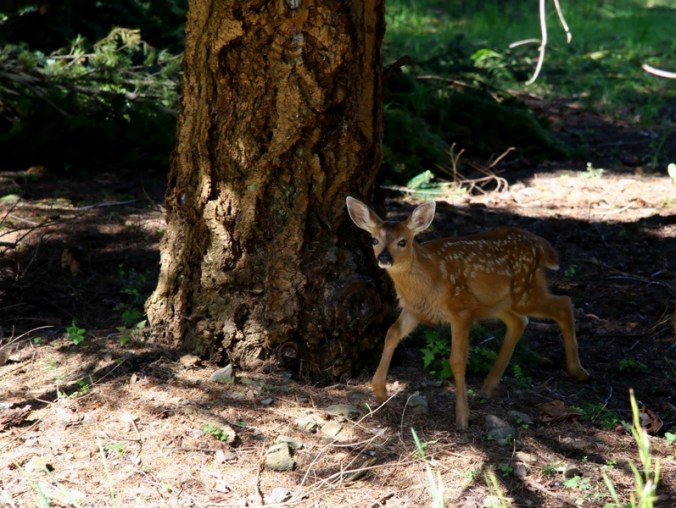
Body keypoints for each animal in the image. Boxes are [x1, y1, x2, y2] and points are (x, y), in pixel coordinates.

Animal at [345, 196, 589, 429]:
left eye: (402, 241)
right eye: (374, 240)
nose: (384, 258)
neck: (429, 278)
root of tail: (541, 244)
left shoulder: (460, 307)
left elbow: (458, 359)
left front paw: (462, 417)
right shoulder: (414, 310)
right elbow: (392, 333)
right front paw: (379, 390)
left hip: (523, 291)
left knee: (563, 303)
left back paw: (578, 371)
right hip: (499, 301)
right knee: (520, 322)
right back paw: (489, 385)